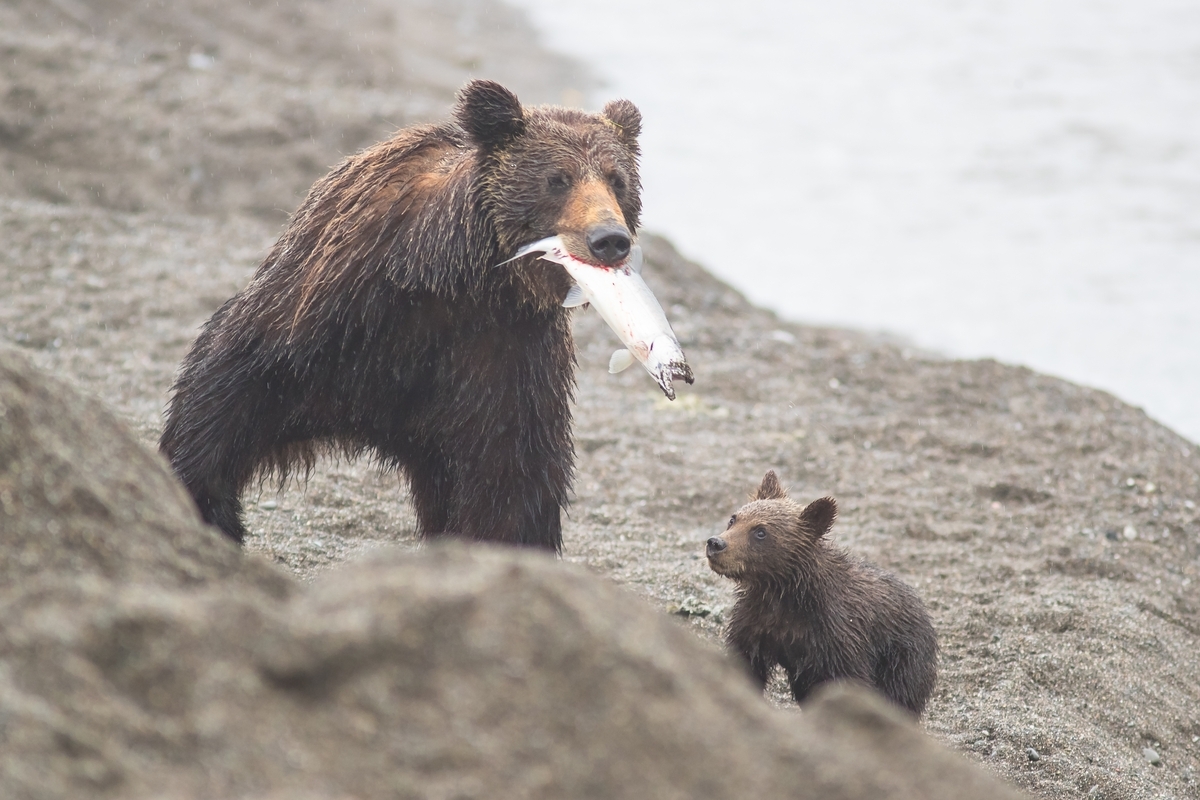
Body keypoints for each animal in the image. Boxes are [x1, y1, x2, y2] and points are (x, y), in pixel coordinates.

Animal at [159, 82, 681, 556]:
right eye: (558, 178)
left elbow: (510, 481)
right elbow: (221, 403)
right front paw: (205, 505)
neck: (451, 276)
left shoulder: (500, 359)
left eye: (617, 179)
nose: (608, 239)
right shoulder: (324, 321)